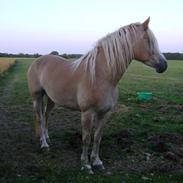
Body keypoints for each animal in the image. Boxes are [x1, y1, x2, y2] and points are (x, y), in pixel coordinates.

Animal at [26, 17, 167, 174]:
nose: (164, 65)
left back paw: (47, 137)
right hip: (37, 97)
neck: (100, 76)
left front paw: (97, 162)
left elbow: (98, 137)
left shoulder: (105, 113)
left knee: (46, 115)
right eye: (148, 40)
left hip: (51, 99)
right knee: (39, 117)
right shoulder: (87, 113)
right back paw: (44, 144)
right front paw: (86, 164)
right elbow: (86, 138)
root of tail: (37, 61)